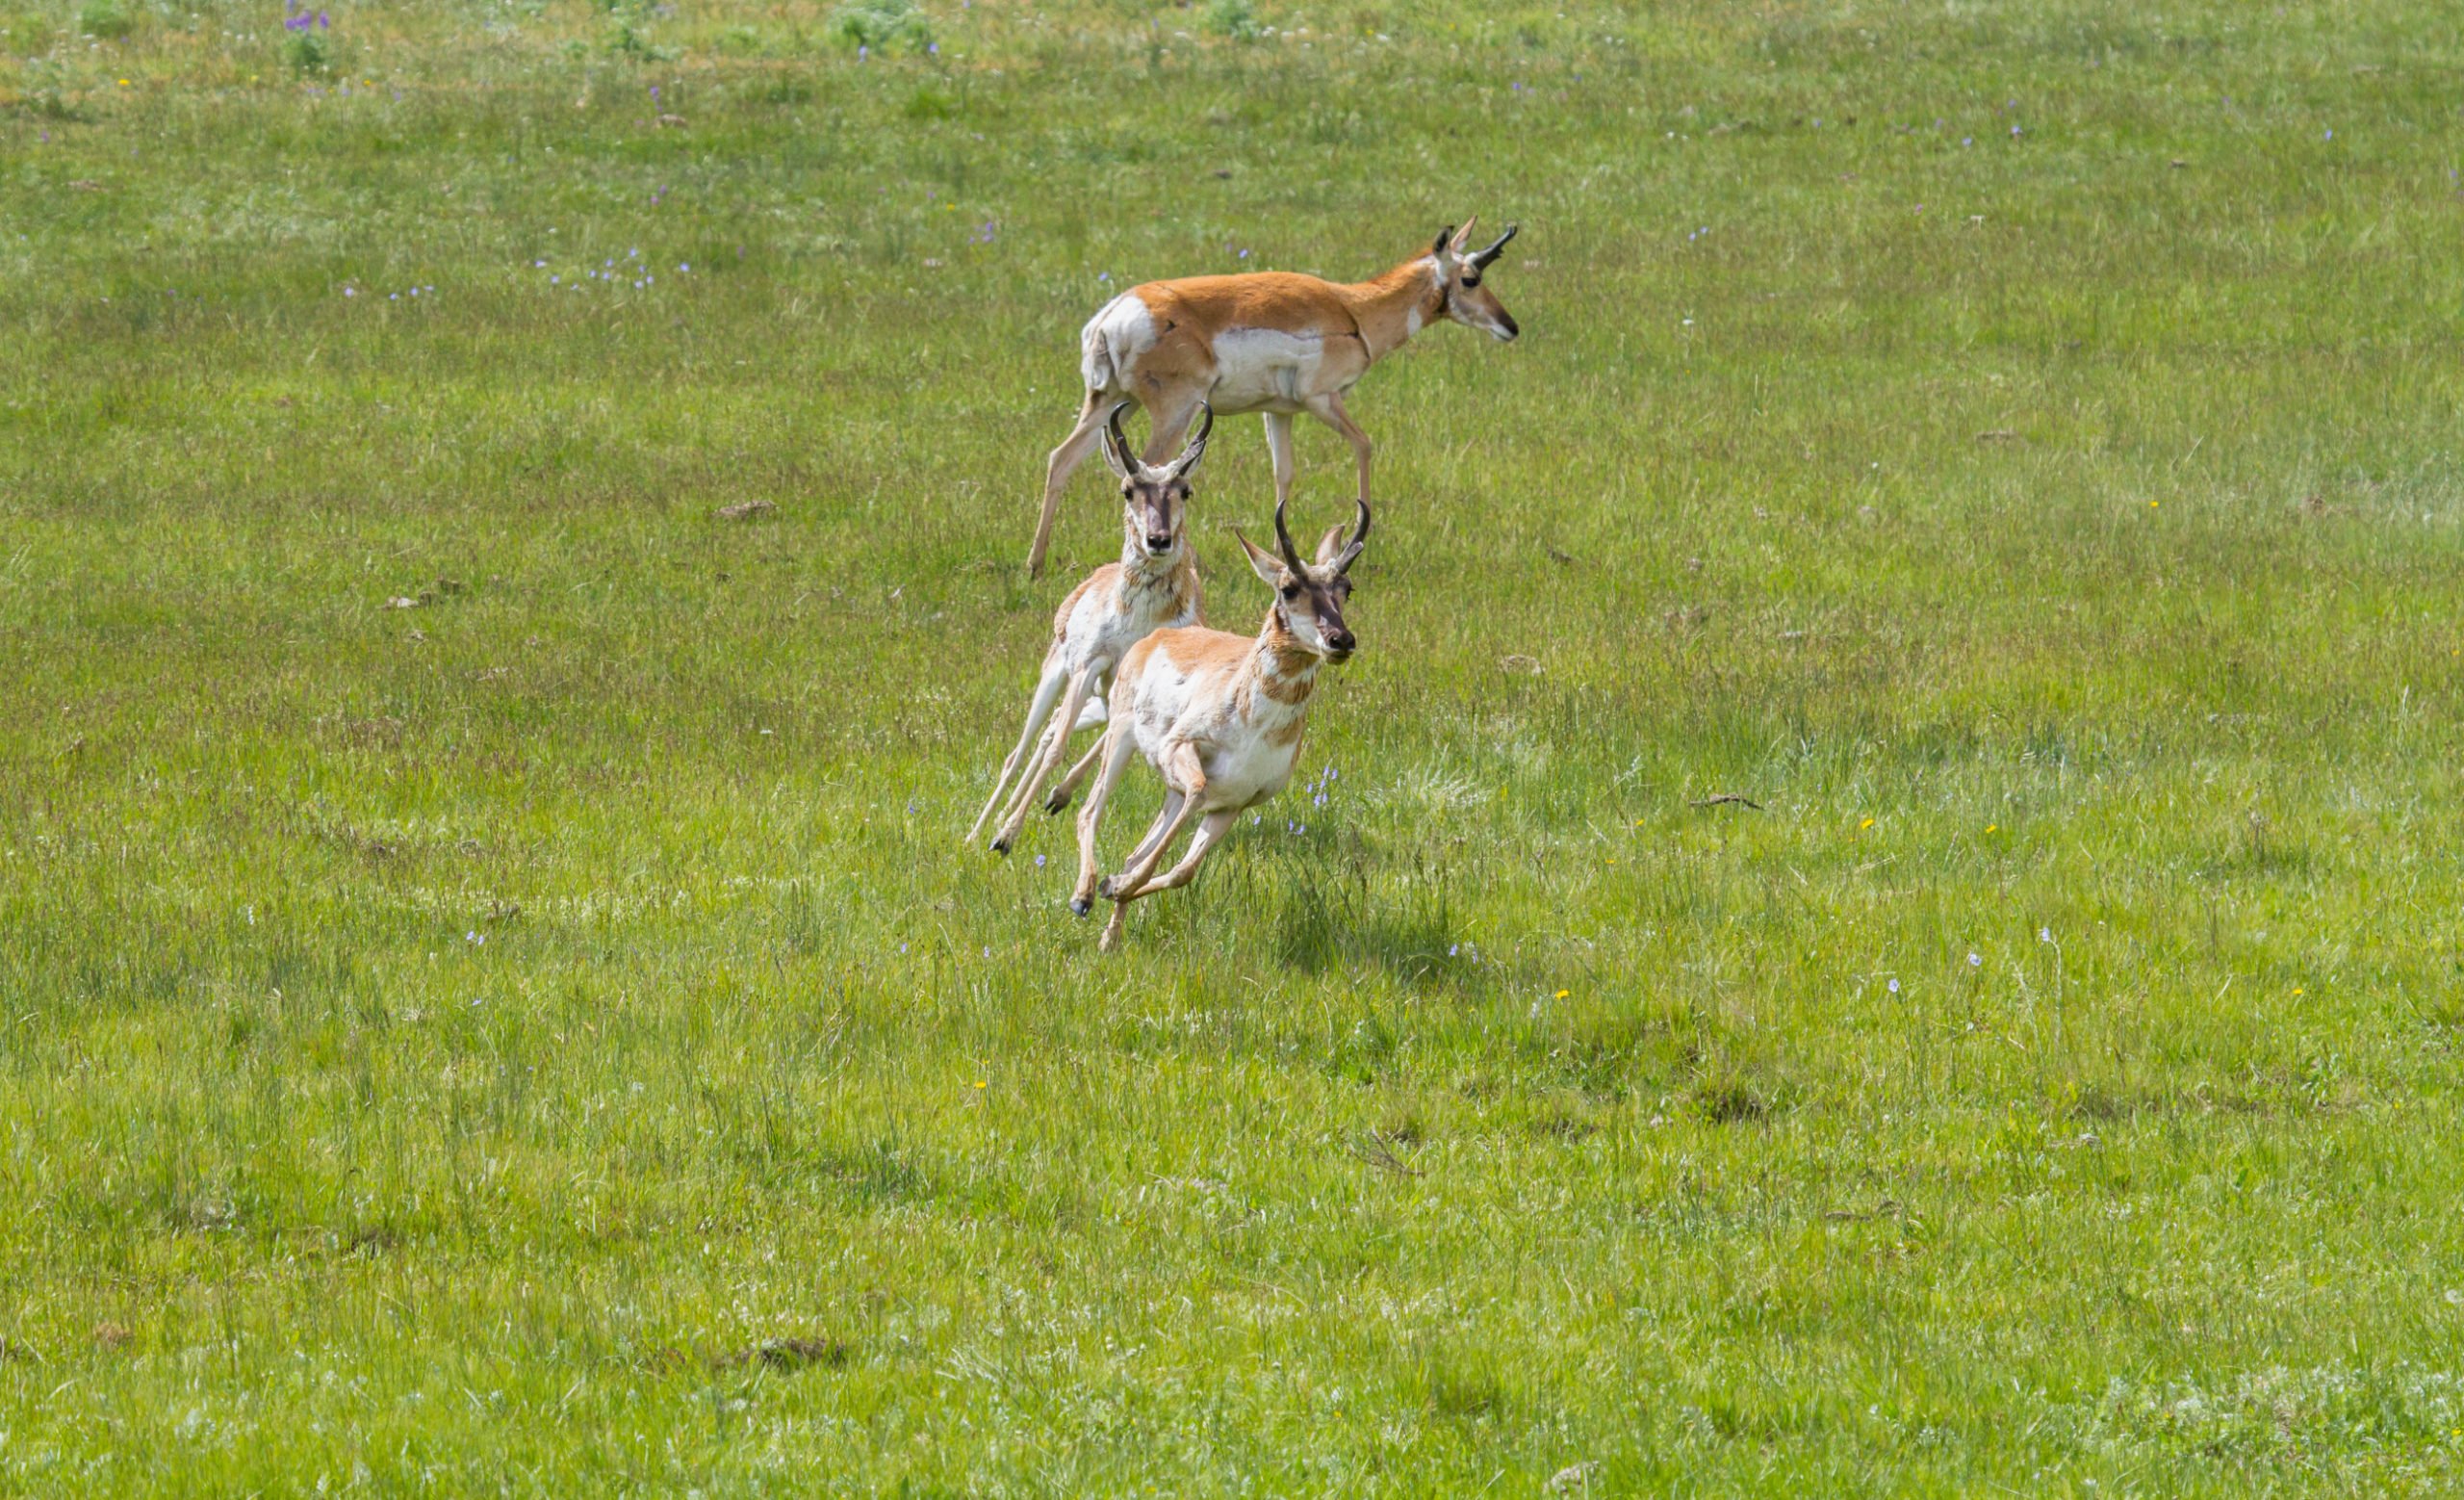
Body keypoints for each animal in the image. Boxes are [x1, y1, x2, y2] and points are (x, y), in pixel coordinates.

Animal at [961, 401, 1212, 852]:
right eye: (1128, 490)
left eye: (1185, 490)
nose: (1158, 540)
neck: (1138, 623)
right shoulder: (1089, 667)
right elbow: (1058, 748)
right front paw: (1005, 837)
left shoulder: (1128, 690)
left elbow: (1099, 746)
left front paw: (1057, 797)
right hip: (1057, 675)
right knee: (1022, 750)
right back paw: (978, 832)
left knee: (1050, 735)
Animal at [1024, 217, 1517, 574]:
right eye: (1471, 278)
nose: (1510, 326)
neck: (1354, 309)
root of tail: (1115, 313)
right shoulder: (1323, 399)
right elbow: (1364, 444)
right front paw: (1360, 538)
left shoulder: (1279, 413)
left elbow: (1285, 473)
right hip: (1175, 410)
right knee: (1150, 469)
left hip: (1106, 402)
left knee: (1061, 459)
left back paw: (1036, 562)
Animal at [1064, 497, 1370, 955]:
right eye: (1288, 588)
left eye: (1346, 588)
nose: (1341, 640)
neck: (1256, 729)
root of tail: (1158, 636)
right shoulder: (1181, 749)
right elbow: (1196, 791)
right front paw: (1109, 887)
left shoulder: (1235, 803)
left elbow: (1184, 872)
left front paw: (1117, 886)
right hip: (1122, 739)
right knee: (1089, 811)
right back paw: (1082, 896)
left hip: (1167, 788)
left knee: (1137, 849)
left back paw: (1109, 933)